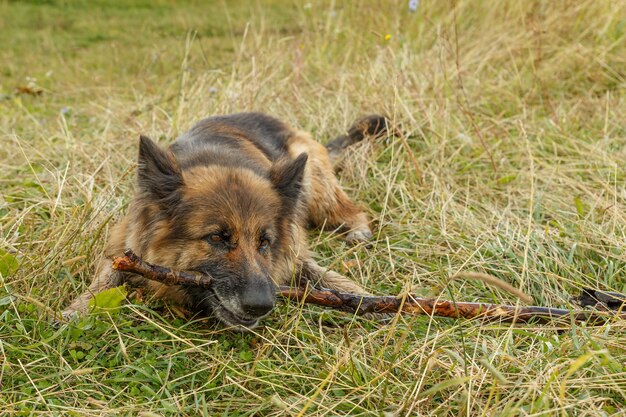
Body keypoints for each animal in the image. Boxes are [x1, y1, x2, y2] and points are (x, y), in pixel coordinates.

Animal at [62, 113, 386, 328]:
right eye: (217, 237)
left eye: (264, 242)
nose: (260, 306)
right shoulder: (121, 244)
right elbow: (106, 277)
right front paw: (80, 308)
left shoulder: (294, 254)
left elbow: (328, 277)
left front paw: (365, 300)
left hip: (313, 184)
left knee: (350, 208)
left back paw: (358, 230)